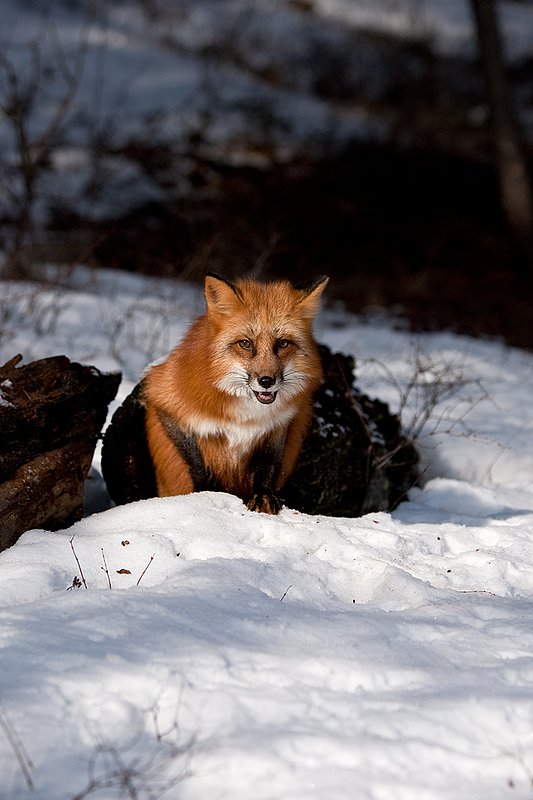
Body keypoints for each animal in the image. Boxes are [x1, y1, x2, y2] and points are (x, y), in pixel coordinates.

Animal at [143, 272, 329, 514]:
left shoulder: (278, 424)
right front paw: (206, 492)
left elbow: (268, 465)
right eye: (246, 344)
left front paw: (263, 495)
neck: (247, 416)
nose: (267, 381)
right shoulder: (165, 402)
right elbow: (195, 463)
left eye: (282, 343)